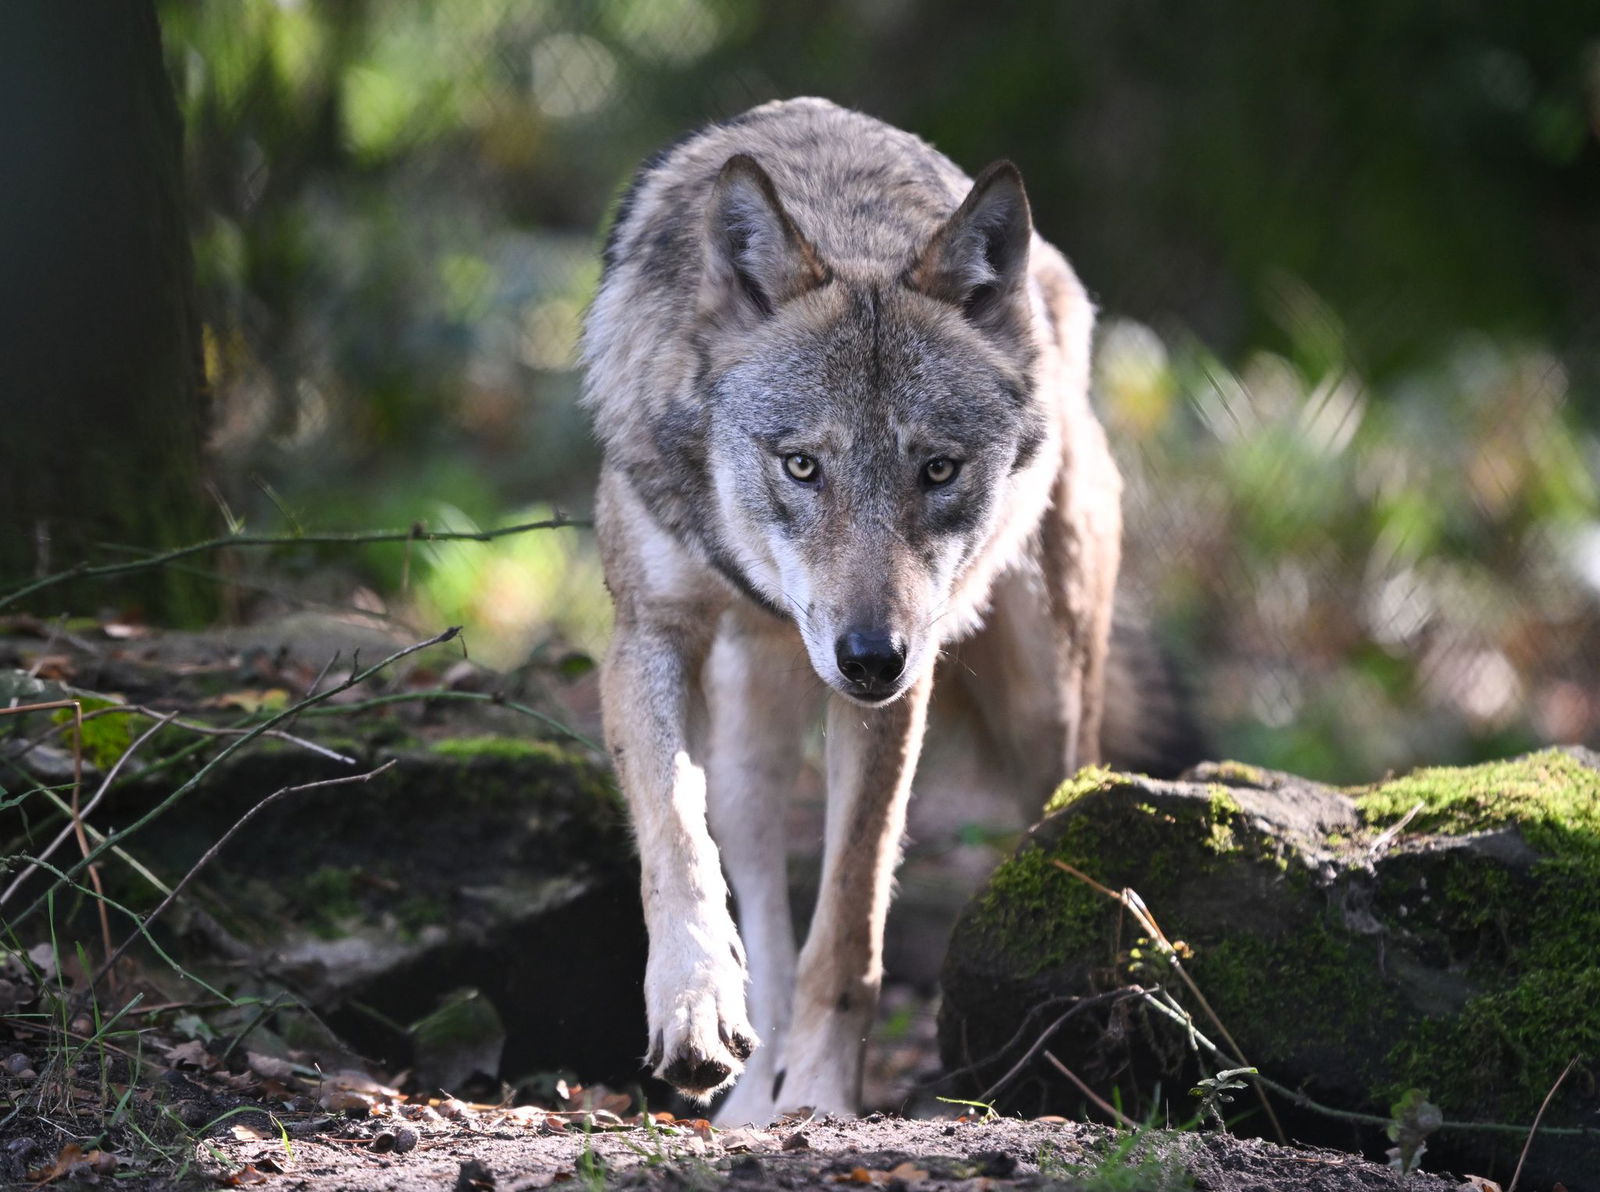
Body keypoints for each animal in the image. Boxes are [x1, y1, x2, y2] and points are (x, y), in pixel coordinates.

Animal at [582, 97, 1141, 1125]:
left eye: (938, 469)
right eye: (803, 464)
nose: (870, 656)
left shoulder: (896, 698)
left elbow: (848, 924)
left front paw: (824, 1100)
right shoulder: (648, 632)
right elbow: (674, 836)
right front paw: (695, 1009)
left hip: (1043, 699)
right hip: (752, 737)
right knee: (752, 880)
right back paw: (750, 1090)